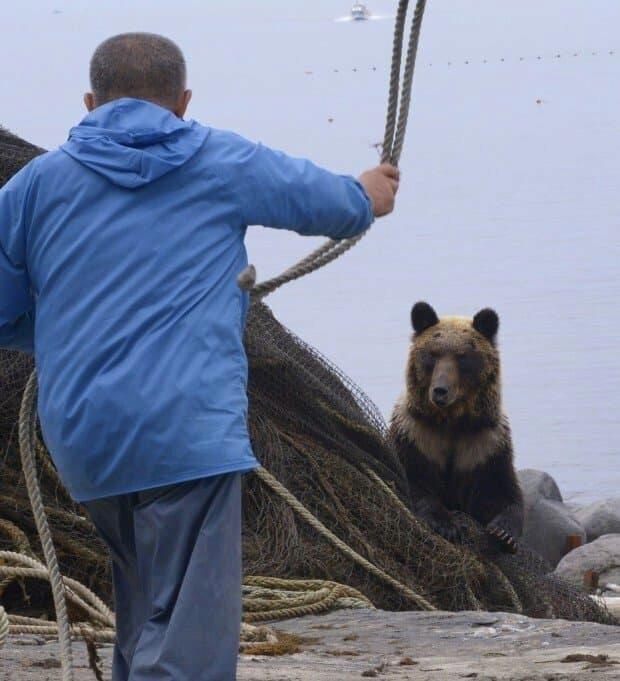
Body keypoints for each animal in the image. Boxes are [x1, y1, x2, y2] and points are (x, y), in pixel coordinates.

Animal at [390, 302, 524, 552]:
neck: (452, 421)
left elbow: (500, 490)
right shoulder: (416, 436)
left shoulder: (485, 444)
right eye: (433, 354)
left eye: (463, 356)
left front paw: (504, 532)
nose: (440, 391)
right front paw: (446, 524)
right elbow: (416, 480)